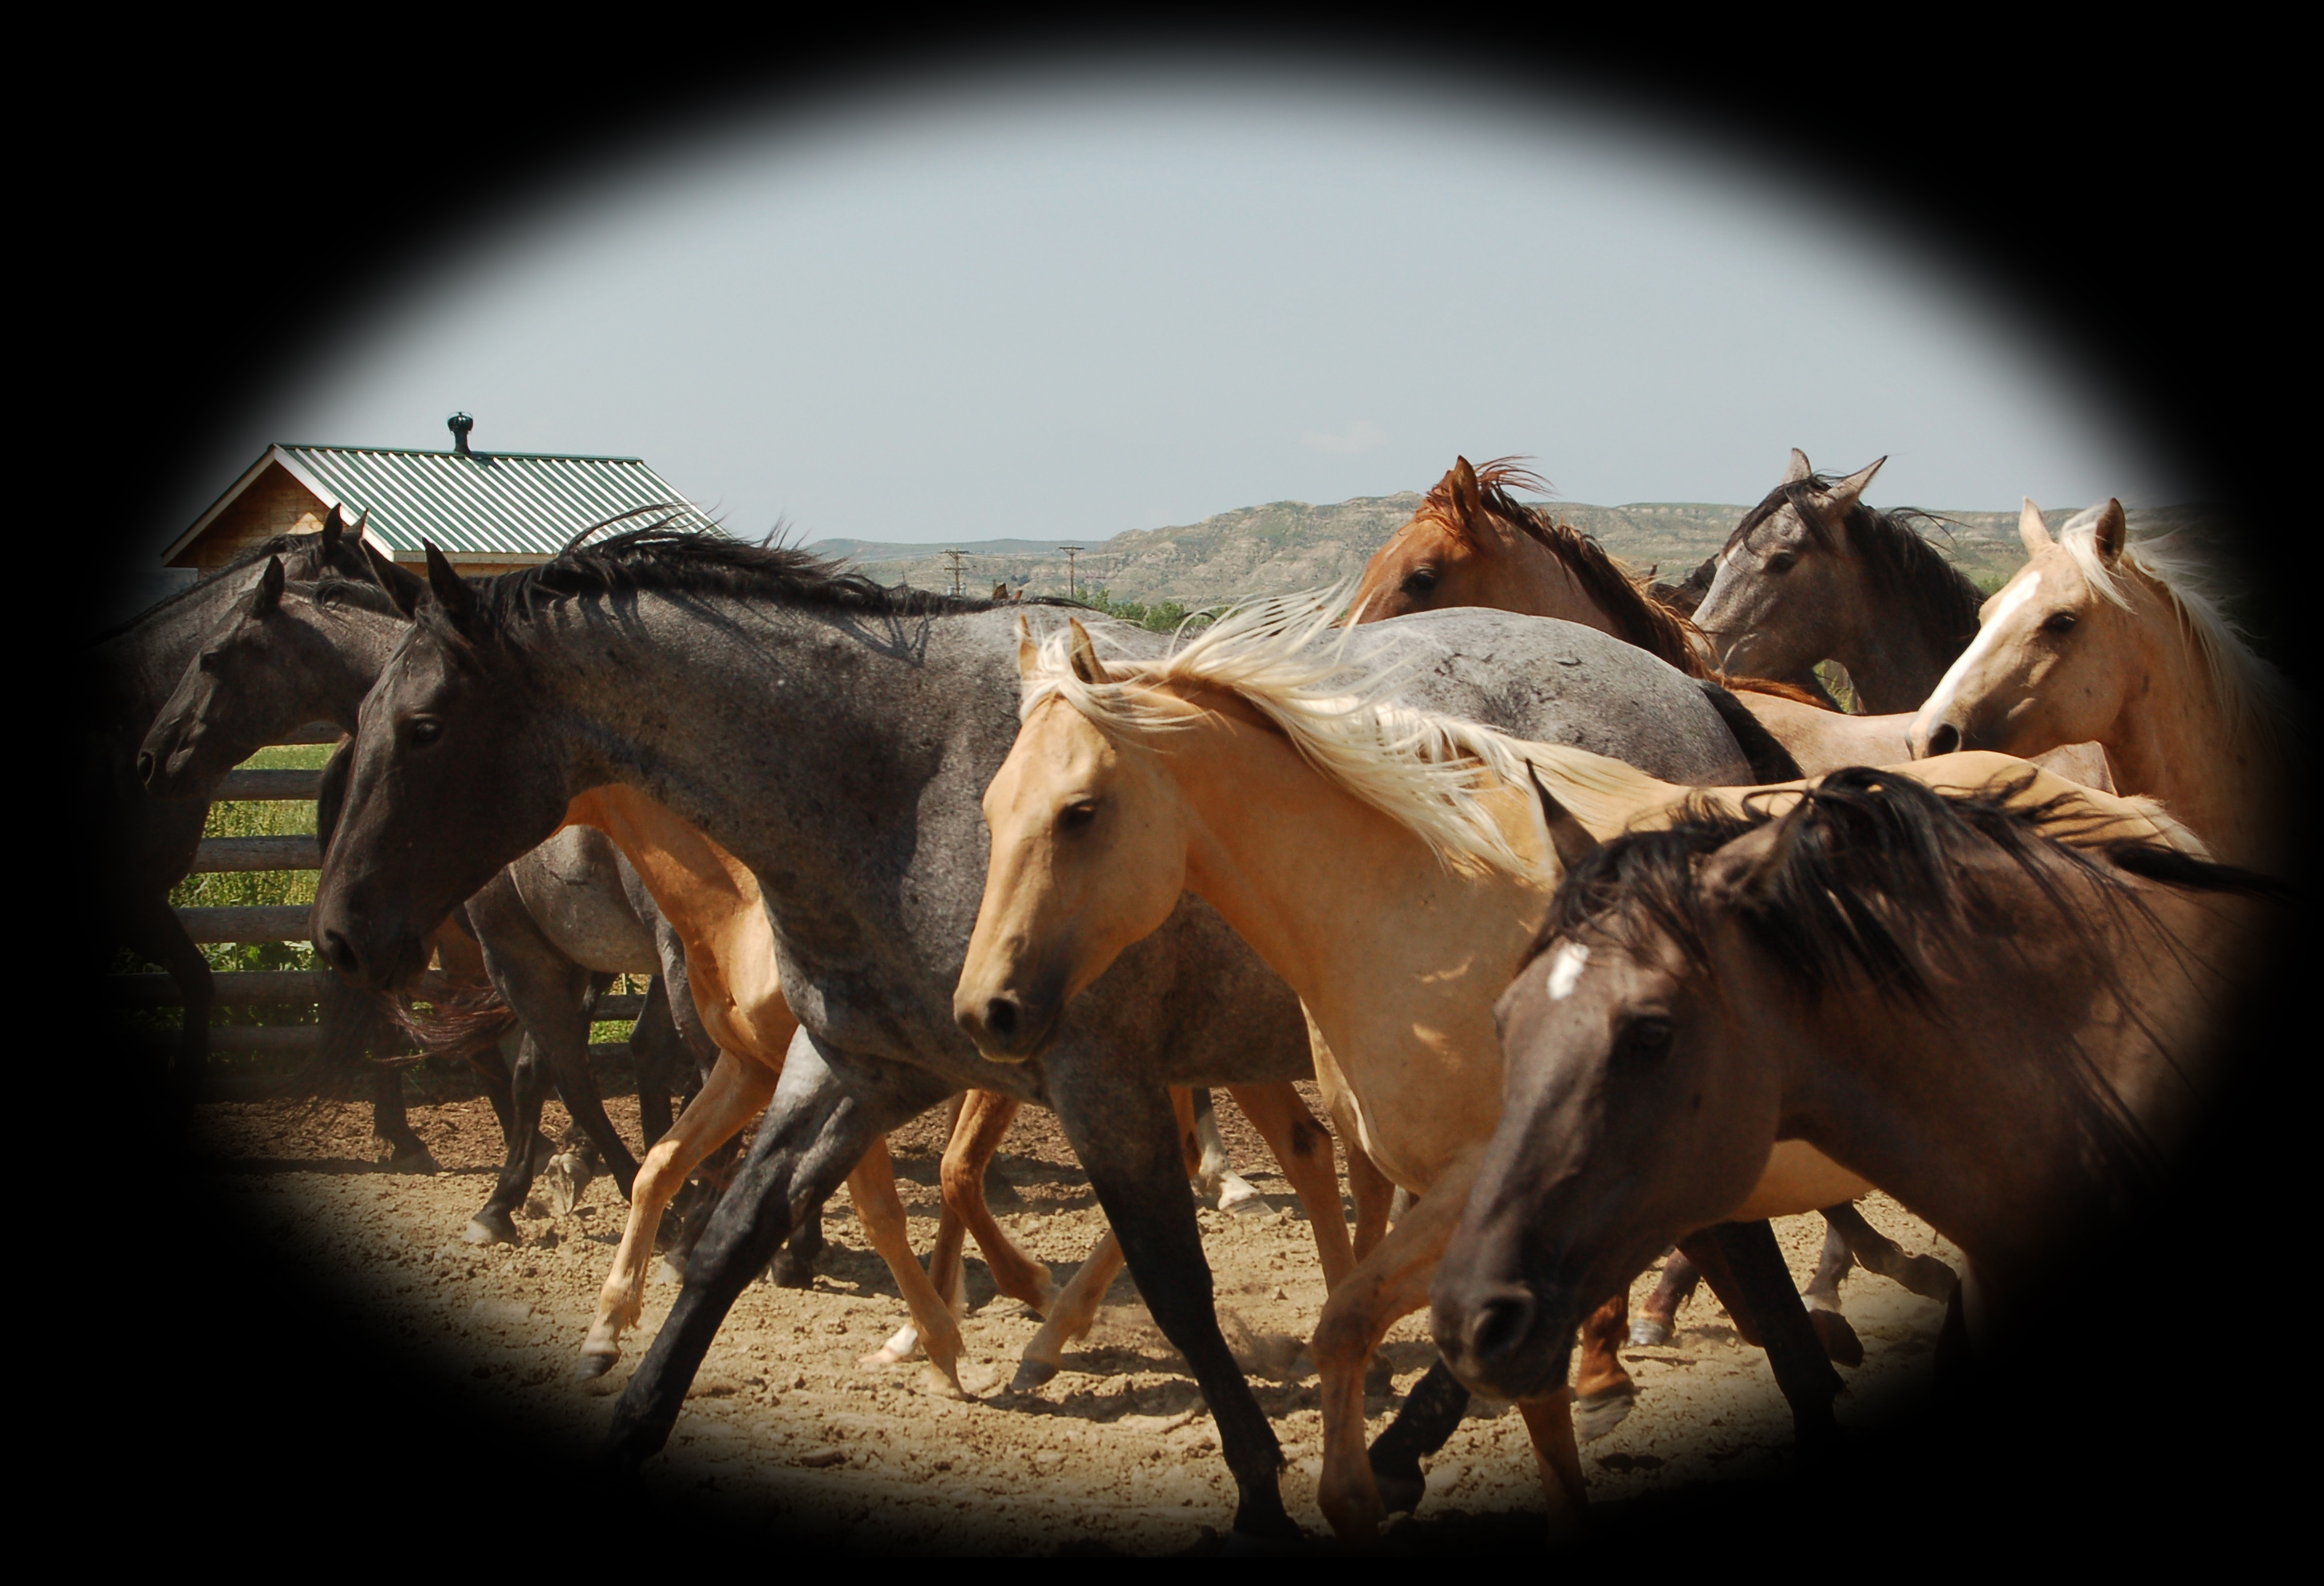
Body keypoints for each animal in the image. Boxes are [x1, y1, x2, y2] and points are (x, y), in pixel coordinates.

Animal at [314, 527, 1831, 1534]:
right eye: (366, 716)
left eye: (428, 724)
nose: (338, 934)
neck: (894, 773)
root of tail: (1696, 695)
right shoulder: (856, 1066)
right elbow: (729, 1242)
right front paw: (636, 1403)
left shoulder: (1089, 1074)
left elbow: (1174, 1278)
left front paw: (1260, 1485)